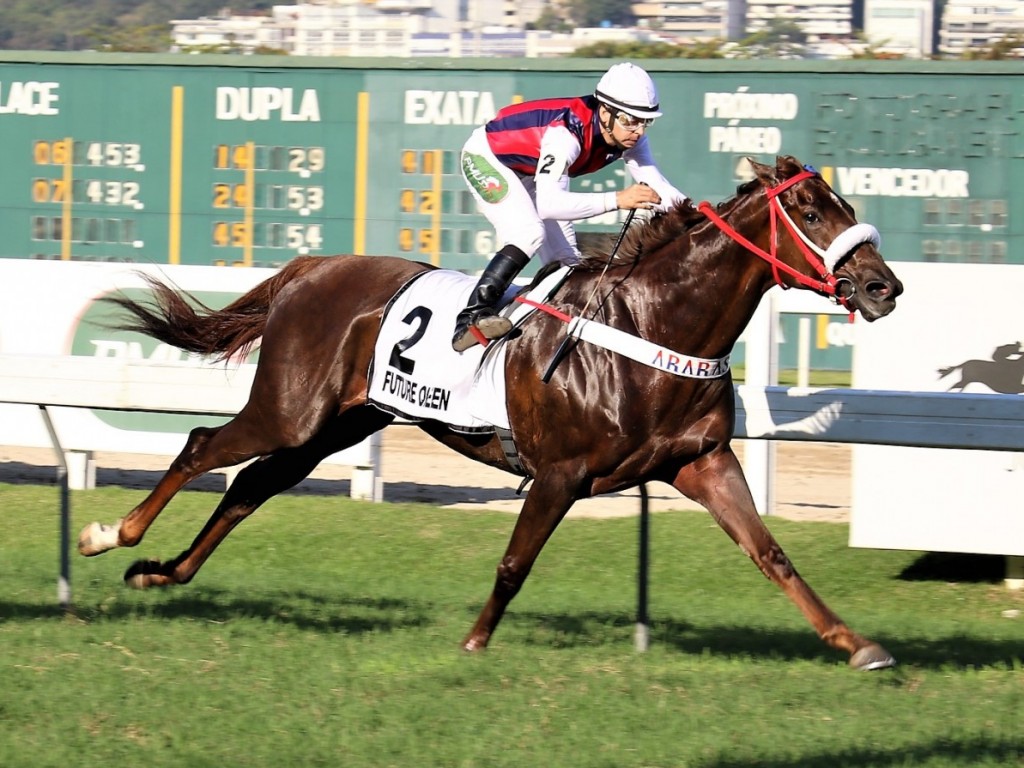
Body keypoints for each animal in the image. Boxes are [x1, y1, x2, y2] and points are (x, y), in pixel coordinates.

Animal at [83, 157, 909, 671]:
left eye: (848, 207)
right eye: (810, 209)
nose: (883, 287)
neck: (653, 325)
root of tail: (311, 267)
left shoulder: (700, 461)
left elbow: (771, 553)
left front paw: (856, 643)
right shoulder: (561, 473)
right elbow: (515, 564)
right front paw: (475, 643)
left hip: (334, 426)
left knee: (250, 485)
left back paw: (162, 572)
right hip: (290, 408)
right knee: (201, 445)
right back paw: (112, 535)